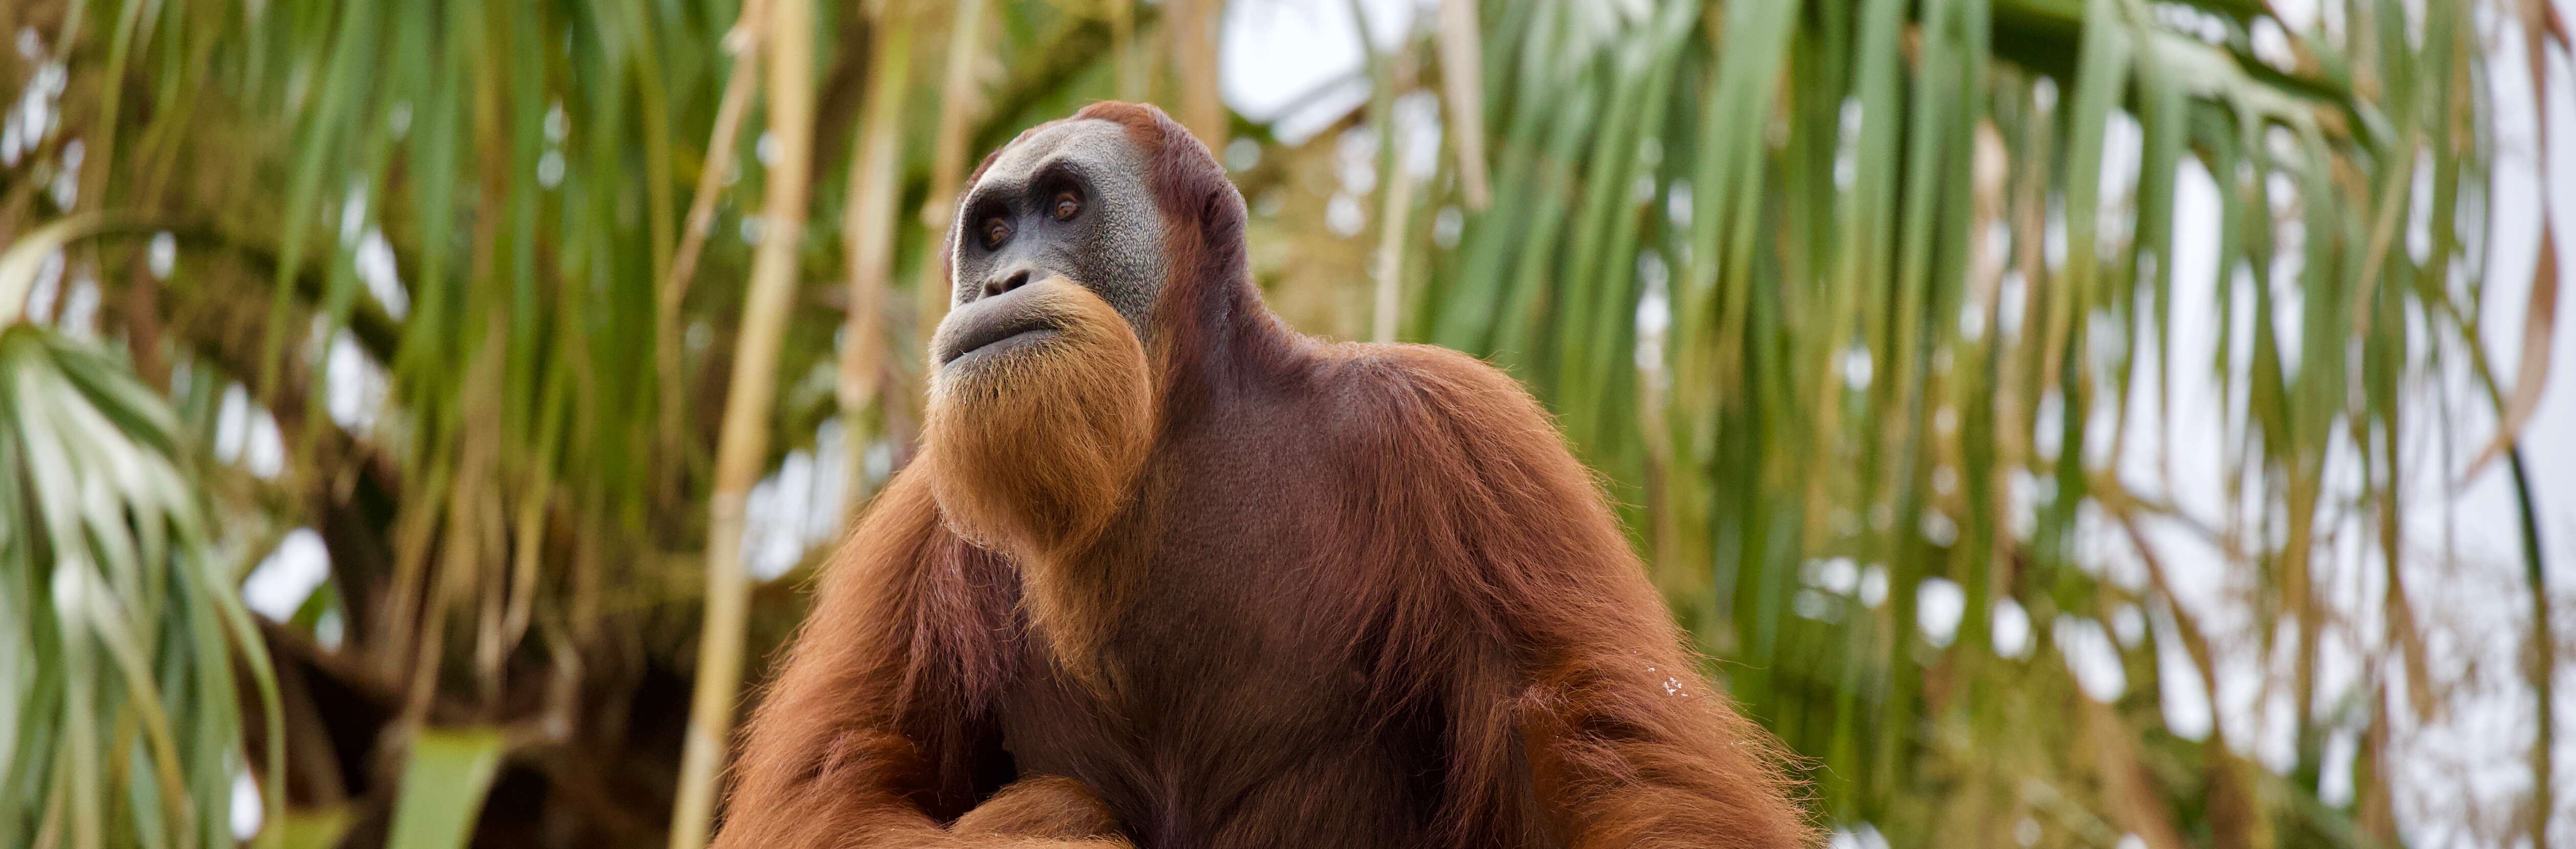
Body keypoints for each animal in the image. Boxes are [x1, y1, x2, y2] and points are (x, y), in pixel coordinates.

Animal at [711, 101, 1815, 849]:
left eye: (1062, 206)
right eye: (989, 231)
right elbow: (830, 795)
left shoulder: (1459, 434)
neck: (1170, 434)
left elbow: (1604, 755)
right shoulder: (918, 523)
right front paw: (1048, 822)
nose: (996, 282)